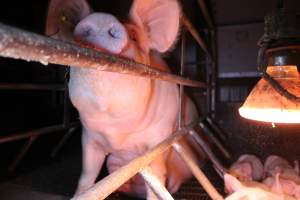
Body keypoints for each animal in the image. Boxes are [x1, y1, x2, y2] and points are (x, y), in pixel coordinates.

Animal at [45, 0, 203, 199]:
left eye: (134, 36)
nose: (101, 18)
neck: (116, 130)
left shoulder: (159, 138)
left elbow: (157, 177)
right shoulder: (89, 137)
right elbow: (87, 173)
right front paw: (78, 195)